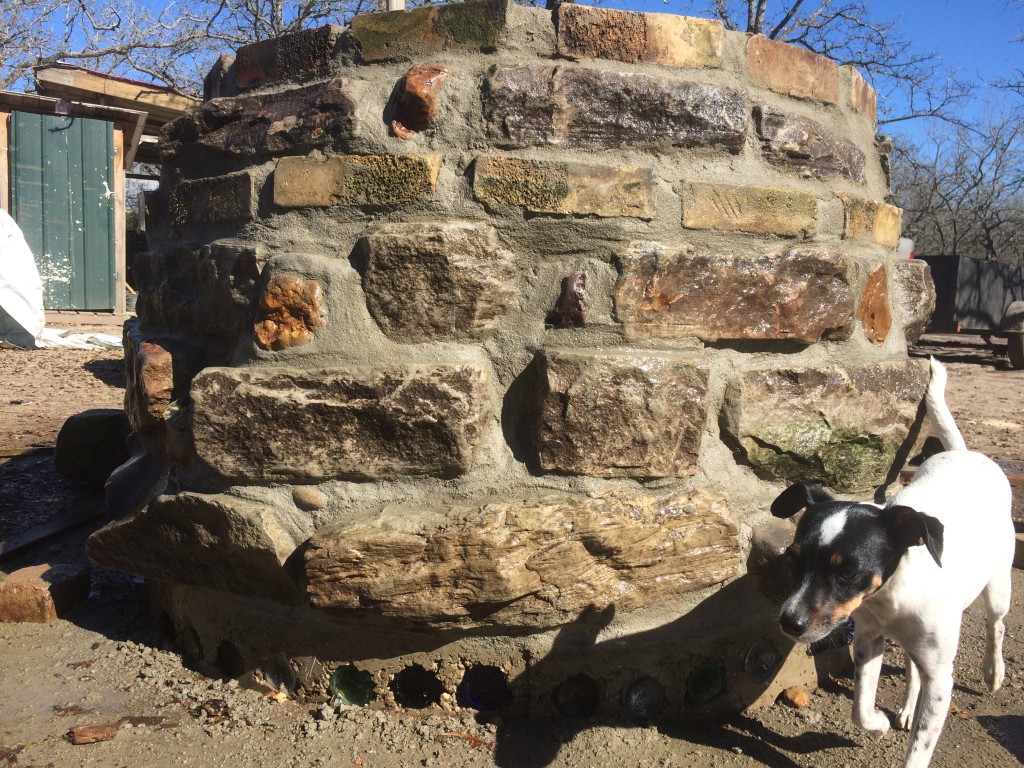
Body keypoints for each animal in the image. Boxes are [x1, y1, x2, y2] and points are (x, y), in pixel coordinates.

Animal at [770, 360, 1011, 768]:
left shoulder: (941, 679)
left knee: (996, 625)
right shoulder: (868, 639)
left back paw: (993, 672)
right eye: (792, 559)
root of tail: (964, 453)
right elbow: (860, 710)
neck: (891, 597)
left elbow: (920, 749)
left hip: (998, 586)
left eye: (847, 571)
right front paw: (879, 724)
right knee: (915, 665)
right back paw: (907, 706)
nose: (789, 623)